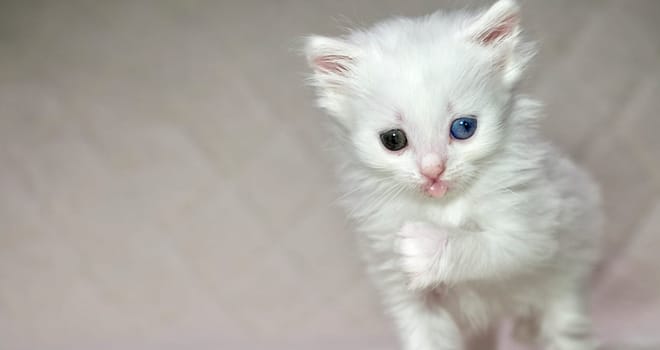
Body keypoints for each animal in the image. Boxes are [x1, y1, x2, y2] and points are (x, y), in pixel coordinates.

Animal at [304, 1, 604, 348]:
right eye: (393, 139)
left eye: (463, 127)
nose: (433, 170)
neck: (441, 209)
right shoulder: (400, 286)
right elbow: (425, 336)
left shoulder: (537, 225)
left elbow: (492, 246)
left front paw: (424, 247)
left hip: (566, 281)